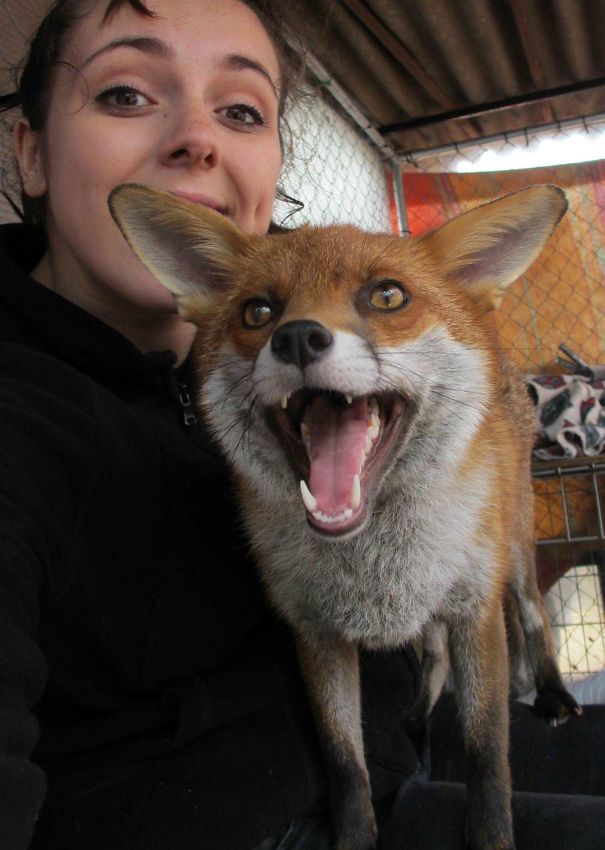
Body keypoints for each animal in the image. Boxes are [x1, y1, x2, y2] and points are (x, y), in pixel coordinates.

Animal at [109, 183, 580, 850]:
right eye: (258, 312)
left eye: (387, 296)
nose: (297, 337)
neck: (374, 565)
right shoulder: (315, 634)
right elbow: (345, 764)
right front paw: (357, 836)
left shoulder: (475, 611)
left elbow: (488, 756)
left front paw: (491, 836)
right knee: (430, 654)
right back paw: (418, 719)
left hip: (512, 556)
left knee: (534, 618)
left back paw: (553, 696)